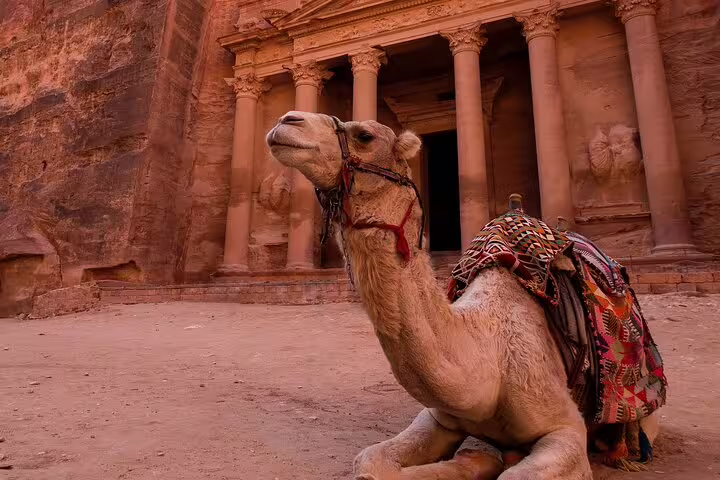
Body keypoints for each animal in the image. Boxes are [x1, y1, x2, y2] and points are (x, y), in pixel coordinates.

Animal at [266, 111, 655, 480]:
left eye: (365, 135)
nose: (287, 121)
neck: (490, 360)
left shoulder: (566, 426)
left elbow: (517, 475)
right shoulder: (439, 417)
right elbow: (369, 462)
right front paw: (476, 459)